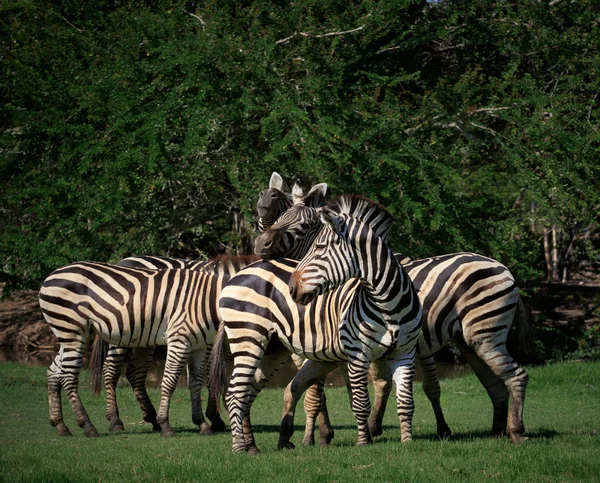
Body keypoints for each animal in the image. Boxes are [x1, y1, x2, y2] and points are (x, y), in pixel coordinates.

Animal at [37, 260, 253, 440]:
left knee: (54, 372)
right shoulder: (179, 340)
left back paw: (61, 425)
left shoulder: (199, 346)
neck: (206, 301)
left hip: (70, 333)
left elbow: (196, 383)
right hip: (73, 330)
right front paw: (166, 425)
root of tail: (51, 275)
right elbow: (170, 382)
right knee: (69, 377)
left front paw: (202, 423)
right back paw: (89, 426)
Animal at [211, 196, 422, 454]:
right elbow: (360, 401)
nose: (292, 289)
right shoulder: (357, 353)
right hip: (248, 338)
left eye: (320, 248)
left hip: (272, 350)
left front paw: (407, 442)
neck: (387, 304)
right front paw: (363, 442)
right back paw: (239, 447)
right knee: (234, 393)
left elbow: (406, 402)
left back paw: (251, 446)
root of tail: (240, 272)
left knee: (247, 391)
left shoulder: (405, 353)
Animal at [251, 190, 532, 446]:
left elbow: (322, 394)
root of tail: (503, 267)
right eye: (281, 217)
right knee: (494, 384)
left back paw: (514, 431)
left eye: (306, 225)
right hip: (470, 343)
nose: (260, 244)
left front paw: (318, 437)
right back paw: (498, 431)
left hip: (485, 336)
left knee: (514, 377)